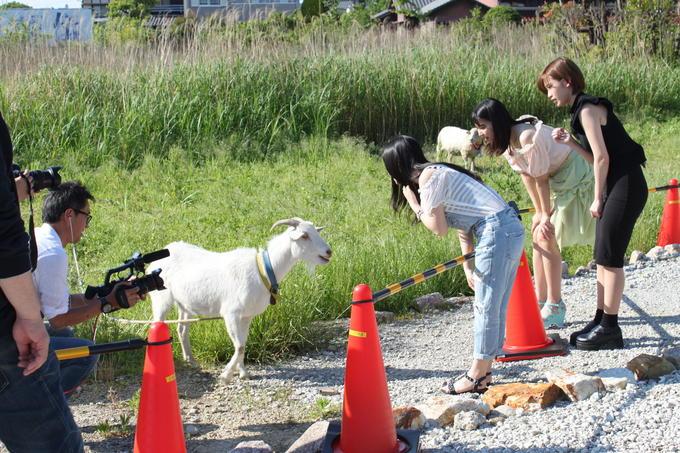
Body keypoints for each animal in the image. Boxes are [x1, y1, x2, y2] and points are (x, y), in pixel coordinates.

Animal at [151, 217, 332, 384]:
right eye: (304, 235)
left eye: (317, 232)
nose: (328, 252)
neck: (263, 270)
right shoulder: (231, 313)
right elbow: (239, 346)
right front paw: (226, 375)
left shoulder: (246, 316)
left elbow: (243, 344)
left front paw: (243, 373)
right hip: (161, 299)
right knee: (157, 323)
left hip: (185, 304)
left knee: (182, 329)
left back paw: (191, 360)